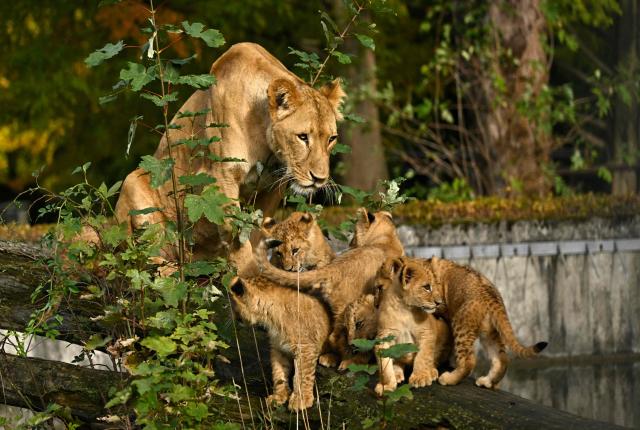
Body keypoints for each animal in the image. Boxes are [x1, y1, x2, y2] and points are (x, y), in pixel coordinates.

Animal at [114, 43, 345, 272]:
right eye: (303, 137)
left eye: (332, 138)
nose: (319, 179)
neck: (265, 143)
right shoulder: (221, 176)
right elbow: (238, 237)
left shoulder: (274, 187)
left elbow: (257, 231)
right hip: (132, 182)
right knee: (135, 258)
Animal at [228, 275, 331, 411]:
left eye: (233, 304)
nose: (233, 317)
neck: (270, 318)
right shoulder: (278, 347)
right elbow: (278, 373)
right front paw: (279, 396)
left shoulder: (306, 347)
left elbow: (302, 375)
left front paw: (301, 400)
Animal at [254, 208, 405, 367]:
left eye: (354, 234)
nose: (350, 243)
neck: (386, 239)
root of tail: (334, 268)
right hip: (347, 307)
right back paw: (351, 361)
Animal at [373, 257, 452, 395]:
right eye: (426, 287)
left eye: (436, 286)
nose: (439, 302)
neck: (405, 309)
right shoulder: (384, 337)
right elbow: (385, 366)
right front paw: (386, 386)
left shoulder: (427, 333)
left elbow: (423, 356)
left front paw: (421, 377)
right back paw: (397, 373)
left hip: (443, 328)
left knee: (434, 358)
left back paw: (431, 371)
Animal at [402, 257, 547, 389]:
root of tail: (490, 296)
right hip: (490, 332)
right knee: (502, 358)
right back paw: (487, 382)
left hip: (461, 325)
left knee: (468, 361)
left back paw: (449, 379)